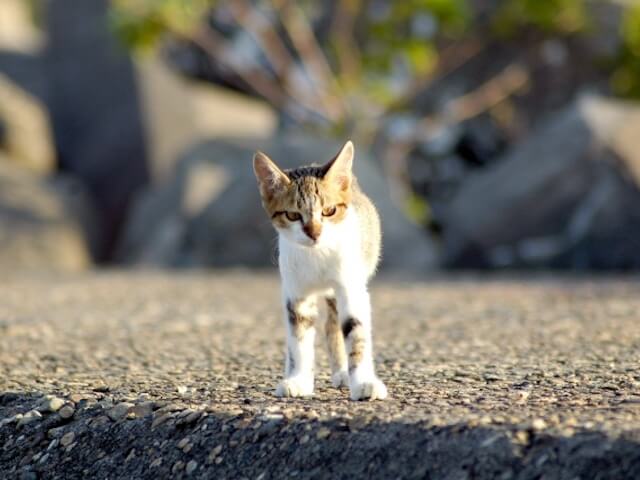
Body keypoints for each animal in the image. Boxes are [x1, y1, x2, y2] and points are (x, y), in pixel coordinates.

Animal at [252, 140, 388, 402]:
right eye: (292, 215)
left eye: (329, 211)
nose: (314, 233)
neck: (317, 256)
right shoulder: (296, 293)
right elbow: (299, 337)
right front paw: (298, 380)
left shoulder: (351, 288)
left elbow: (356, 332)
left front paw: (363, 382)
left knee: (333, 326)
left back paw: (344, 374)